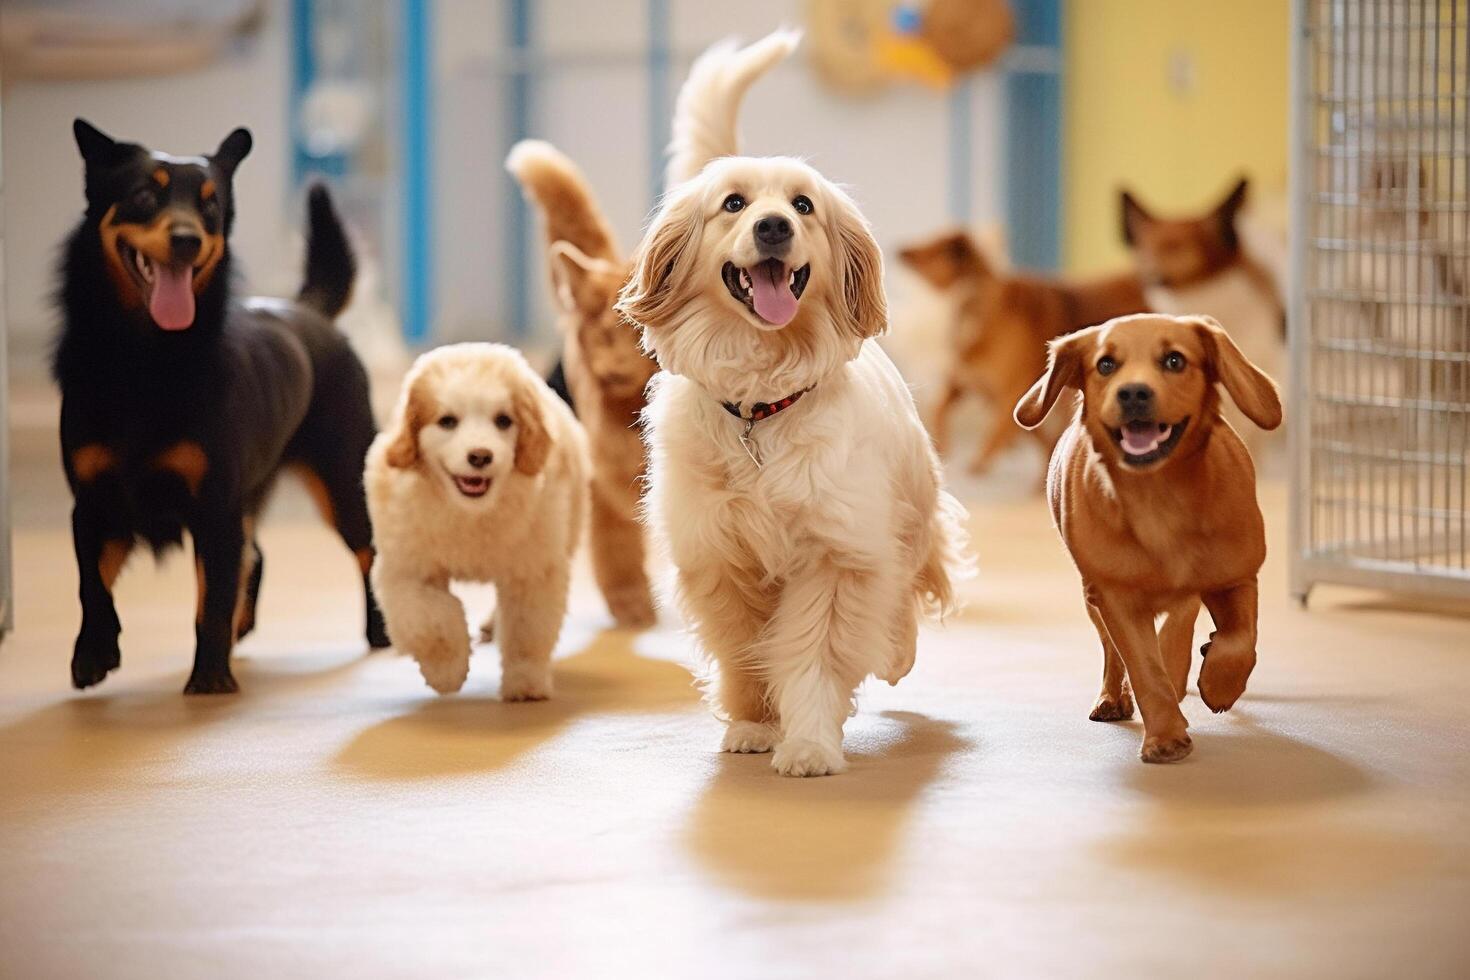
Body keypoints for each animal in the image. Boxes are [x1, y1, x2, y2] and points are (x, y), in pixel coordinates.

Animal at [57, 119, 391, 693]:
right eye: (144, 195)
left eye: (211, 206)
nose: (188, 238)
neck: (146, 359)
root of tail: (309, 310)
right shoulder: (93, 504)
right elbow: (90, 585)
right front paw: (94, 652)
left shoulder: (215, 509)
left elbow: (211, 596)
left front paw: (210, 677)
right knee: (254, 556)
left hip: (344, 481)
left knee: (368, 551)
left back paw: (380, 630)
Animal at [364, 343, 588, 696]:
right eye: (447, 421)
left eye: (503, 420)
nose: (480, 456)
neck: (471, 514)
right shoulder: (406, 570)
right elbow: (430, 621)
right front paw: (446, 671)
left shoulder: (533, 570)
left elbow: (527, 631)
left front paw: (525, 682)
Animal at [614, 72, 970, 775]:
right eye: (733, 203)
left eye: (803, 206)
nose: (774, 225)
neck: (760, 407)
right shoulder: (720, 559)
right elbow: (747, 653)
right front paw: (755, 723)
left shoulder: (837, 555)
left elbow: (814, 658)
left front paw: (808, 743)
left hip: (909, 510)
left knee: (911, 581)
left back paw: (898, 652)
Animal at [893, 230, 1146, 476]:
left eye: (933, 248)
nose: (899, 249)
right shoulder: (972, 386)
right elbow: (941, 410)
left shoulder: (1010, 393)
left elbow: (1000, 432)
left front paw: (979, 463)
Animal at [1017, 310, 1281, 764]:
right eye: (1106, 364)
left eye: (1175, 360)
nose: (1134, 393)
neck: (1160, 499)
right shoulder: (1114, 596)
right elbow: (1143, 666)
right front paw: (1165, 736)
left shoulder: (1238, 577)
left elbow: (1239, 641)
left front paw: (1218, 683)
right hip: (1092, 596)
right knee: (1113, 651)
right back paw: (1112, 697)